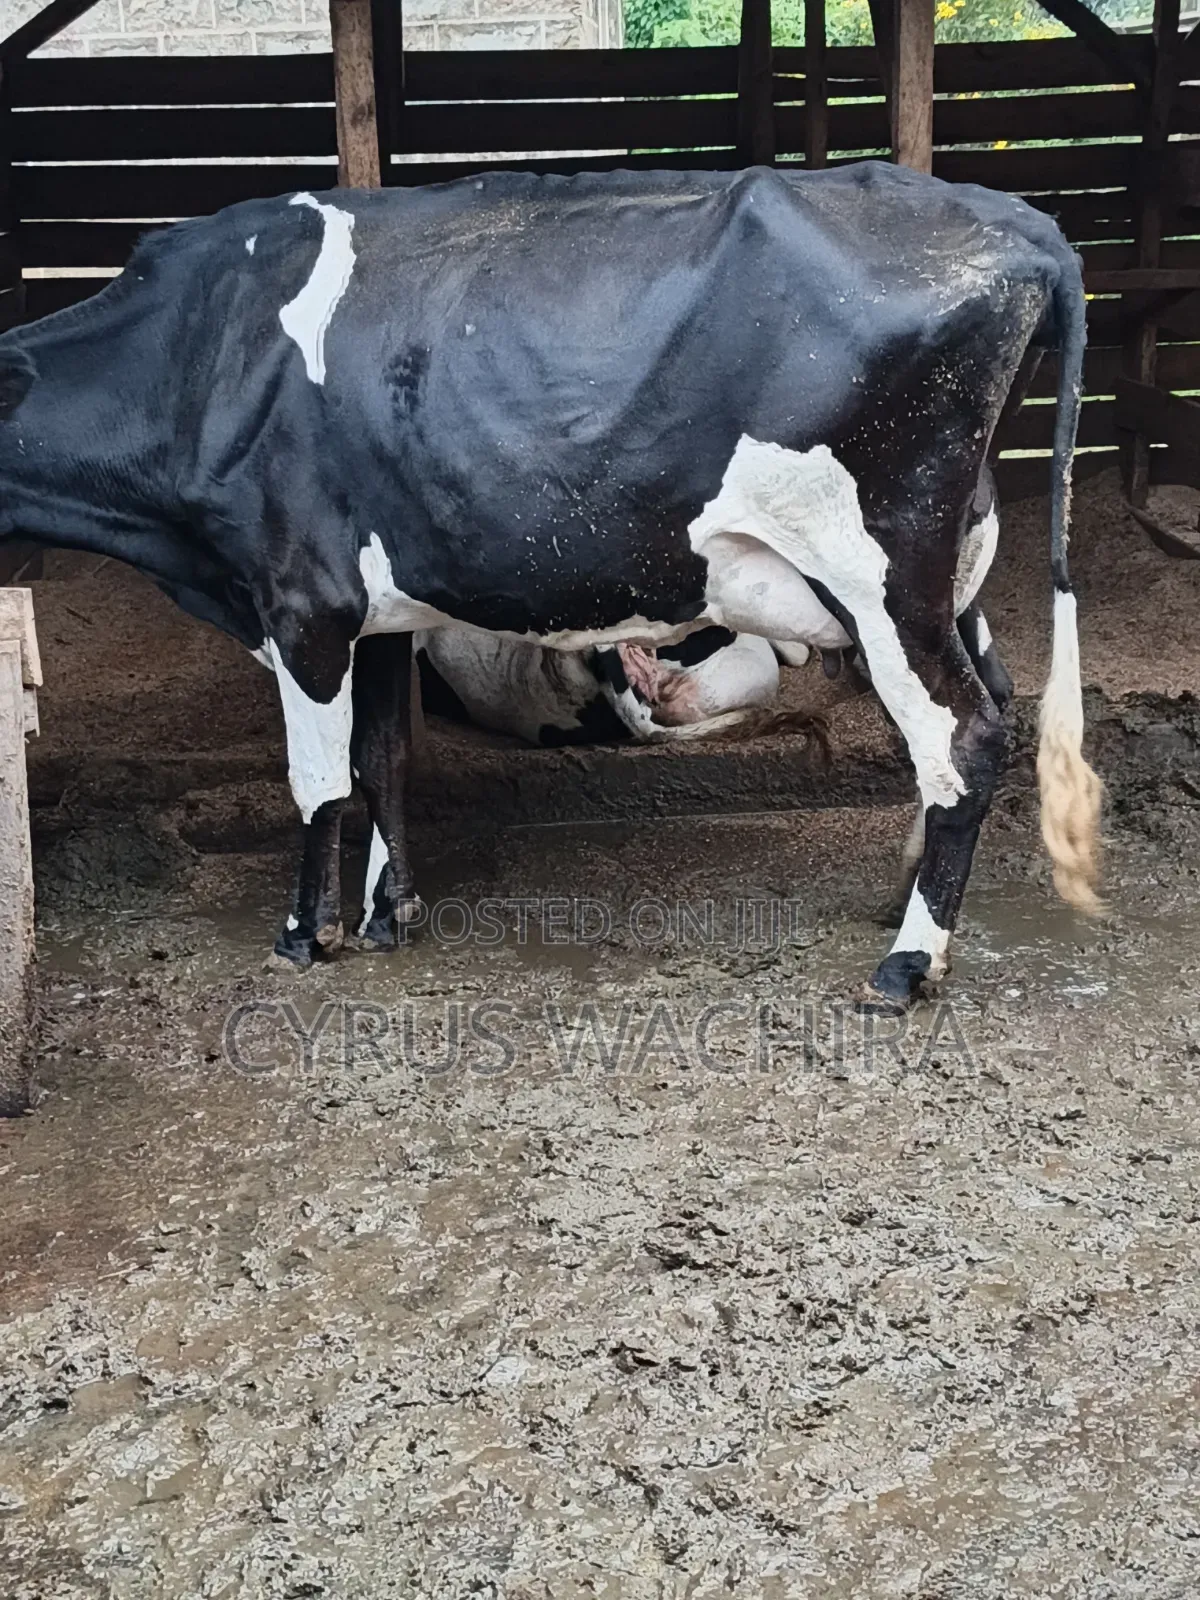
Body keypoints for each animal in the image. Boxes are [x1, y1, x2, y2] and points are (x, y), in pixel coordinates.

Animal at [0, 162, 1101, 1010]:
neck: (198, 358)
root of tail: (1014, 221)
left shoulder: (300, 600)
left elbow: (318, 781)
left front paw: (303, 935)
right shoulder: (379, 613)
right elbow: (383, 759)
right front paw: (388, 913)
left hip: (882, 568)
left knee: (962, 732)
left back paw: (907, 963)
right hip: (948, 572)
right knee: (991, 704)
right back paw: (901, 894)